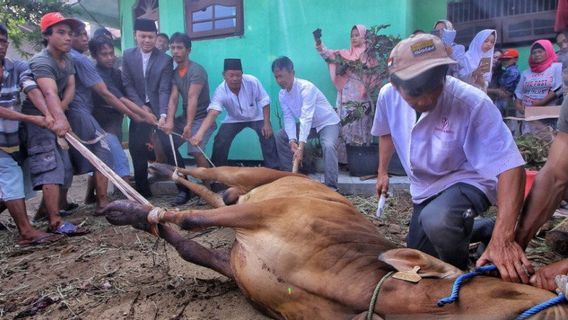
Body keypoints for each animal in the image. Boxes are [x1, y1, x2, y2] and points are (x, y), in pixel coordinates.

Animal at [103, 166, 568, 318]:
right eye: (513, 284)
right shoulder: (267, 214)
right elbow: (189, 220)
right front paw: (127, 211)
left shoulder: (235, 264)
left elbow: (188, 246)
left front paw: (134, 214)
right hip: (255, 178)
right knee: (209, 173)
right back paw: (164, 168)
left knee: (214, 191)